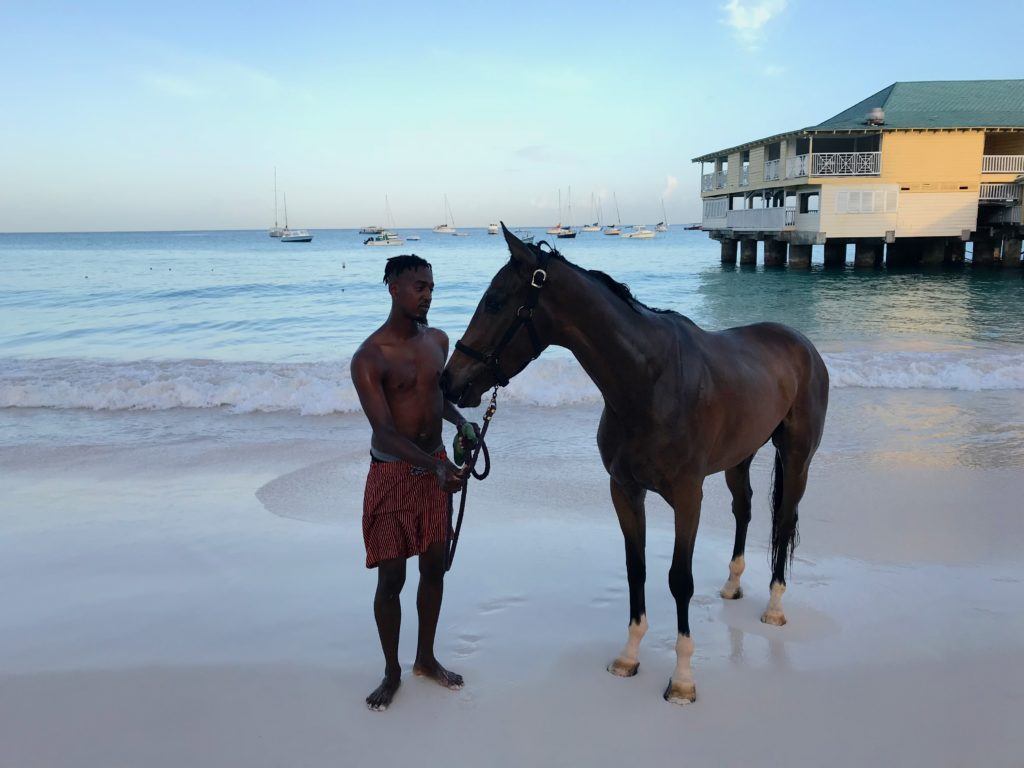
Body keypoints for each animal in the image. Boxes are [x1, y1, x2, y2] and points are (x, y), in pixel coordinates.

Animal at [444, 225, 827, 708]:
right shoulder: (624, 490)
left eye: (494, 301)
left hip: (797, 458)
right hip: (739, 458)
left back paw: (774, 607)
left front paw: (682, 679)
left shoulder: (688, 496)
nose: (449, 382)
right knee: (745, 509)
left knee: (784, 521)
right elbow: (636, 568)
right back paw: (732, 584)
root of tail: (801, 343)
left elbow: (679, 579)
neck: (650, 382)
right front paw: (629, 656)